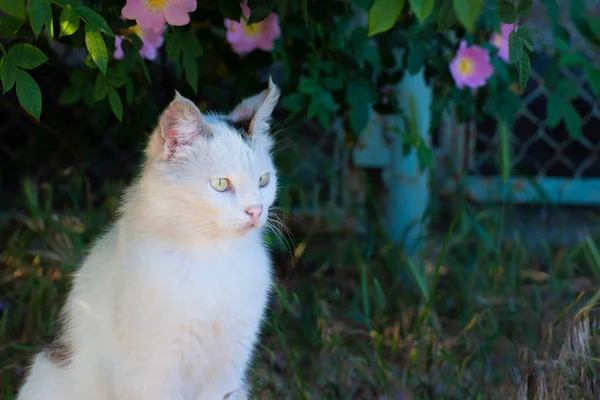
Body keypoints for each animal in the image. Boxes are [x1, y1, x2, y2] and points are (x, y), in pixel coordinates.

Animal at [18, 79, 282, 400]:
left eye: (263, 181)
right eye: (221, 184)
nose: (256, 210)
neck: (213, 256)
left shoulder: (227, 371)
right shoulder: (151, 373)